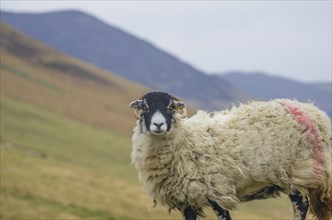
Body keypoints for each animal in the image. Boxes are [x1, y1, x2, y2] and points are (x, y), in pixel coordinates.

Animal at [128, 91, 330, 220]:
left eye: (171, 107)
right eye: (144, 107)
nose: (158, 125)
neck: (185, 141)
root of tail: (312, 111)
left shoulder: (218, 191)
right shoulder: (185, 200)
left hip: (299, 173)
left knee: (301, 206)